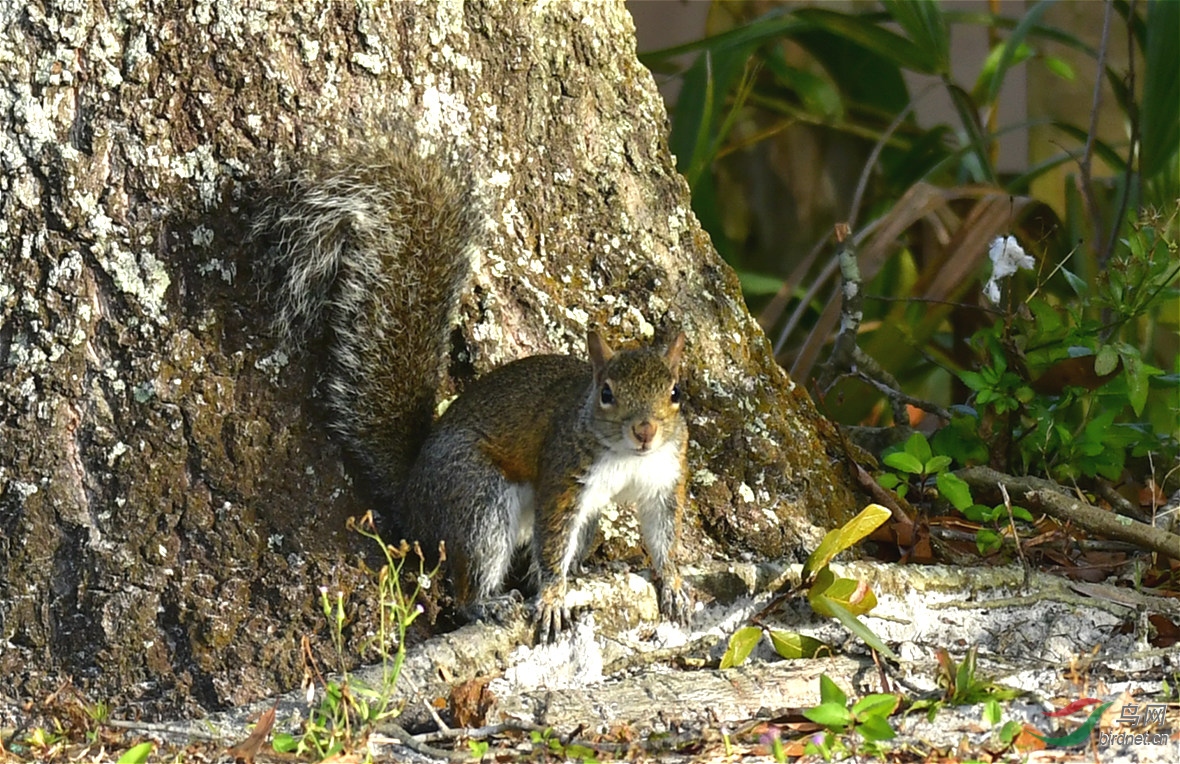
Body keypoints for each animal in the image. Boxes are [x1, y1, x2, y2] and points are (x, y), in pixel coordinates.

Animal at [253, 145, 689, 637]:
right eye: (607, 394)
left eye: (675, 392)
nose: (645, 431)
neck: (627, 458)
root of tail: (413, 495)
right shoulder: (564, 475)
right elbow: (552, 539)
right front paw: (552, 597)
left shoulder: (664, 476)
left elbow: (663, 535)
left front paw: (673, 583)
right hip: (479, 498)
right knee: (470, 575)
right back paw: (487, 603)